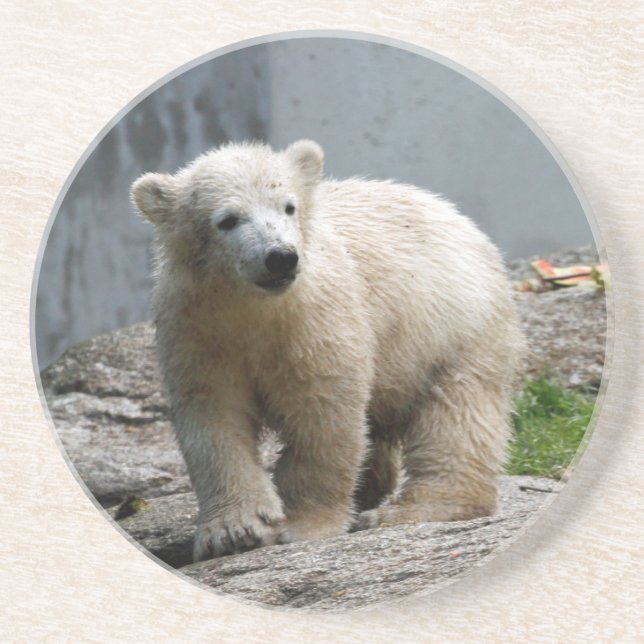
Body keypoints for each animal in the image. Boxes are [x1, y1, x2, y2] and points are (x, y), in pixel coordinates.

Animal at [131, 139, 524, 561]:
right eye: (228, 219)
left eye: (288, 206)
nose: (280, 257)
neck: (255, 308)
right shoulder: (198, 331)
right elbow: (213, 420)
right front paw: (233, 531)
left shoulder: (318, 321)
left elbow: (321, 413)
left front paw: (299, 525)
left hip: (453, 326)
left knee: (456, 413)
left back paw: (410, 509)